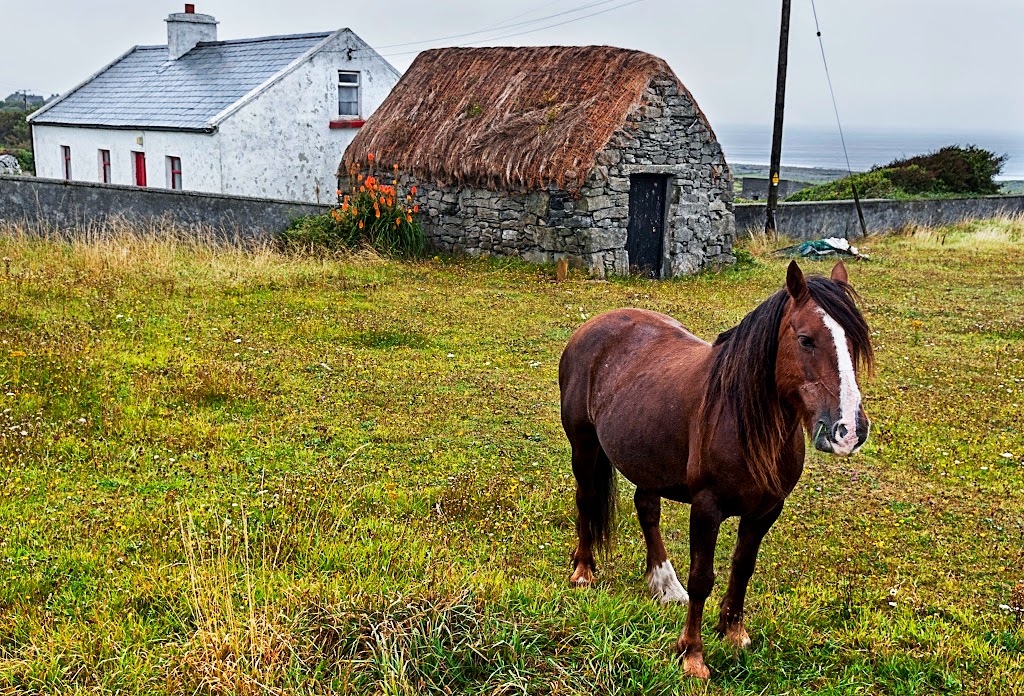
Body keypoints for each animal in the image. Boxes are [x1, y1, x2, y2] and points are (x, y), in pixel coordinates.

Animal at [561, 257, 872, 675]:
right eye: (806, 339)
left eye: (855, 341)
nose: (849, 430)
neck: (744, 419)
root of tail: (592, 325)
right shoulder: (707, 507)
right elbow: (702, 579)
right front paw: (692, 655)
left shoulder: (766, 510)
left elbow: (742, 568)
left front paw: (733, 633)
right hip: (584, 445)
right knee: (587, 499)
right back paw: (584, 571)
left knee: (647, 508)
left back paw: (664, 583)